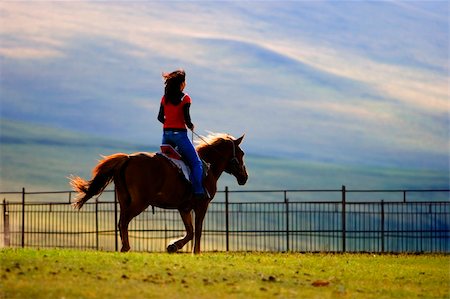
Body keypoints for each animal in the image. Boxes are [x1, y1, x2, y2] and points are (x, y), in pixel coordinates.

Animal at [68, 135, 248, 254]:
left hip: (124, 200)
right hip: (140, 203)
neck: (208, 166)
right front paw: (196, 252)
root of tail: (127, 159)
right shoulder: (202, 205)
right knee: (124, 222)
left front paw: (173, 246)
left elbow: (190, 231)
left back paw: (125, 246)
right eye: (242, 153)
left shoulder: (184, 208)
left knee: (121, 222)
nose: (244, 177)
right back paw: (126, 248)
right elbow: (197, 230)